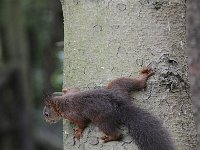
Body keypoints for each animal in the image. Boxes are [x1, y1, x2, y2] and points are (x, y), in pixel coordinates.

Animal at [43, 68, 174, 150]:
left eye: (46, 114)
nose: (46, 122)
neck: (62, 104)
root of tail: (121, 105)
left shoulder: (75, 114)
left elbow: (82, 123)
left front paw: (78, 131)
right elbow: (74, 90)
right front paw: (66, 89)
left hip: (102, 119)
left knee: (118, 134)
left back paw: (110, 137)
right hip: (118, 87)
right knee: (135, 83)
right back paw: (143, 77)